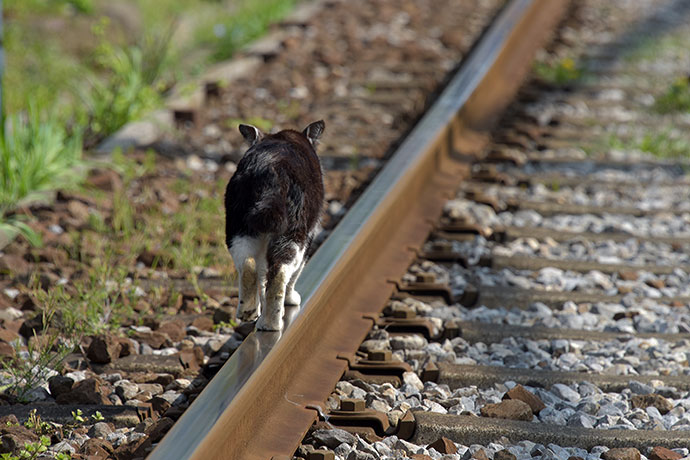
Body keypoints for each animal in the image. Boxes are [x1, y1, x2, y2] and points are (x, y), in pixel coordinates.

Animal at [223, 120, 326, 330]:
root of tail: (271, 169)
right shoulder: (309, 235)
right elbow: (294, 273)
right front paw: (291, 300)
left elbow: (263, 276)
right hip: (294, 234)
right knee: (281, 272)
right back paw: (272, 323)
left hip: (238, 227)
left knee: (248, 264)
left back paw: (249, 311)